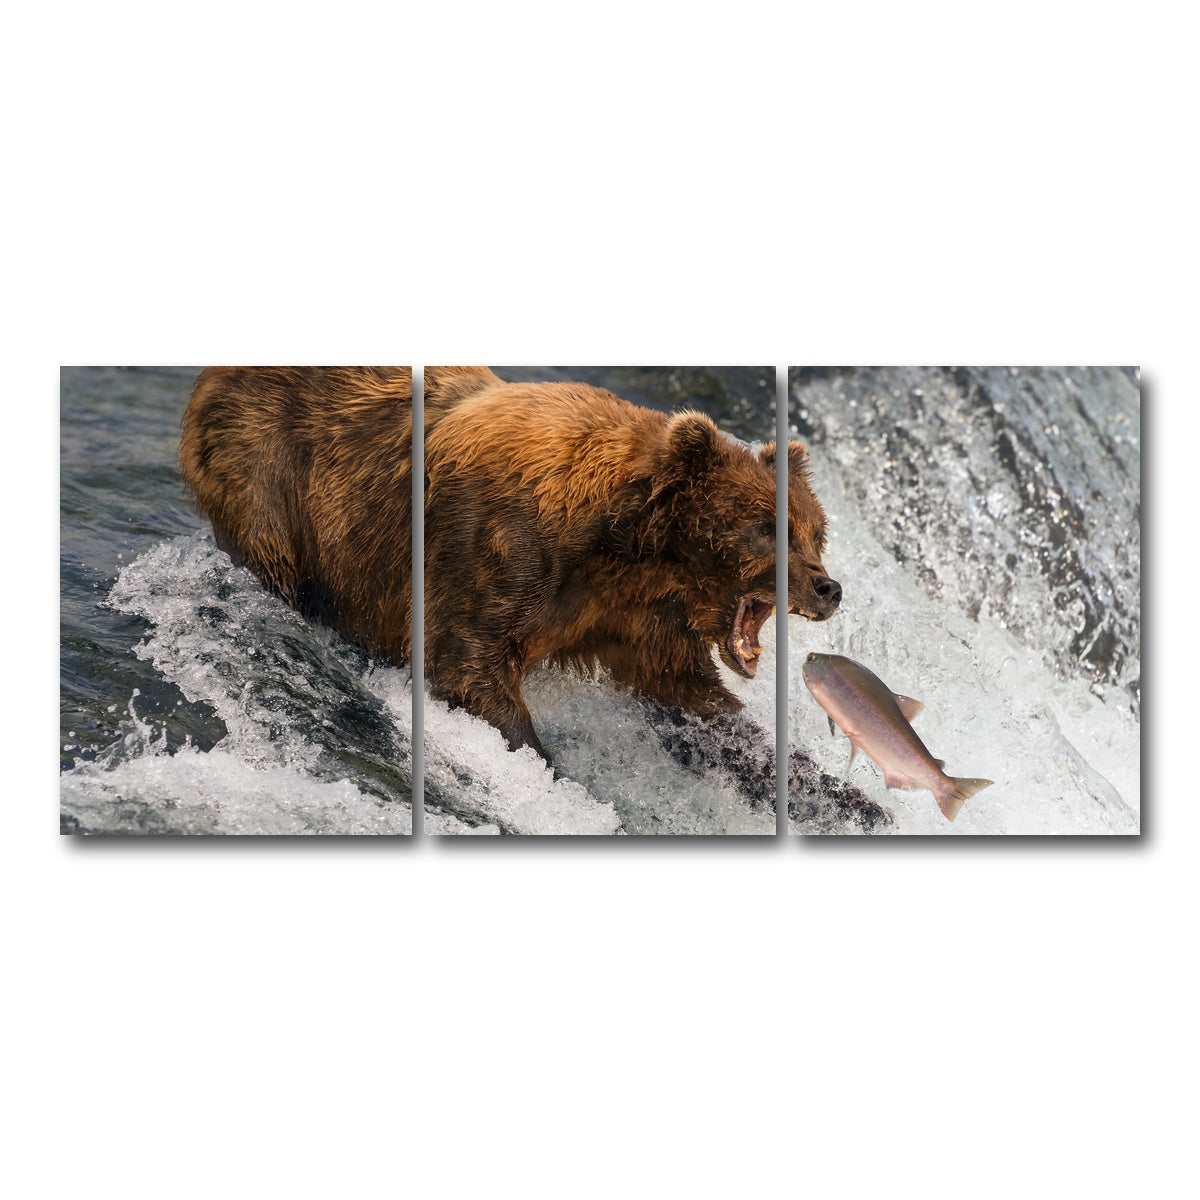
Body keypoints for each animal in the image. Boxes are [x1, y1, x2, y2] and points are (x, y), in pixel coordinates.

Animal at [179, 365, 849, 808]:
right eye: (768, 528)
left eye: (815, 531)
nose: (828, 587)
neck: (625, 545)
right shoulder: (499, 547)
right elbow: (468, 665)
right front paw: (553, 774)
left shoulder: (635, 616)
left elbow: (698, 703)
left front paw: (836, 792)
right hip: (267, 467)